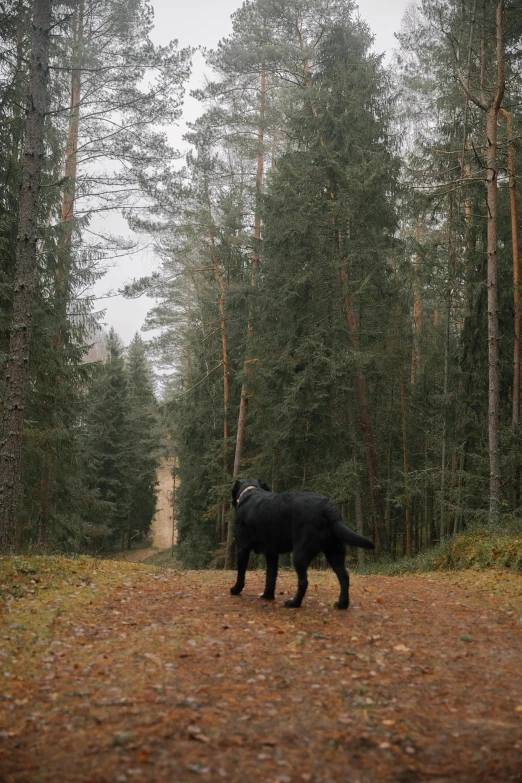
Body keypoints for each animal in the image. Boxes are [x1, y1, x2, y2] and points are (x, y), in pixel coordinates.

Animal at [230, 478, 372, 612]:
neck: (250, 491)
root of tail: (327, 507)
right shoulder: (272, 553)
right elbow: (270, 576)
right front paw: (267, 595)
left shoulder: (242, 549)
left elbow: (241, 574)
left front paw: (235, 590)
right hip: (334, 552)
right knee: (344, 577)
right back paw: (342, 604)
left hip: (300, 554)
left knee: (304, 582)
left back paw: (294, 603)